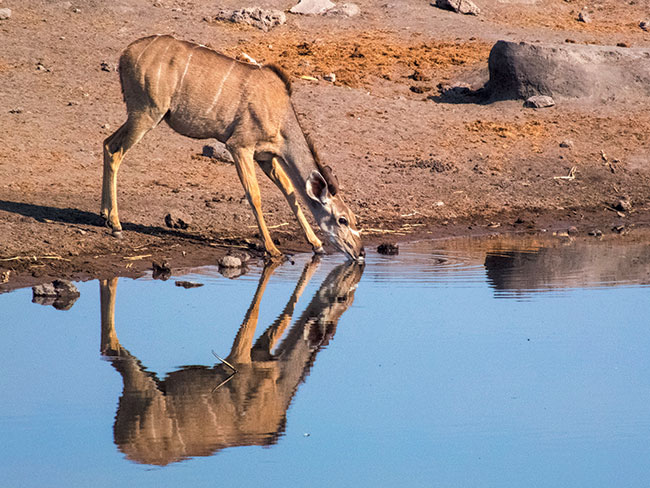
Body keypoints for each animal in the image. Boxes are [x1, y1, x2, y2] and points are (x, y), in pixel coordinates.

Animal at [98, 258, 362, 464]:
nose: (357, 268)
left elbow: (280, 322)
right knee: (111, 348)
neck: (278, 387)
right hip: (144, 386)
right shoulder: (239, 358)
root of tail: (120, 440)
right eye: (342, 298)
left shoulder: (261, 351)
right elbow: (255, 315)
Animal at [104, 34, 362, 262]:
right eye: (342, 220)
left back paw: (106, 215)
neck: (280, 113)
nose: (360, 252)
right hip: (147, 114)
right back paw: (116, 224)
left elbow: (289, 191)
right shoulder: (240, 147)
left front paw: (316, 244)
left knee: (107, 144)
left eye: (353, 218)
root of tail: (125, 54)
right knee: (116, 152)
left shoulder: (266, 157)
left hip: (139, 115)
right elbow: (254, 195)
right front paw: (272, 249)